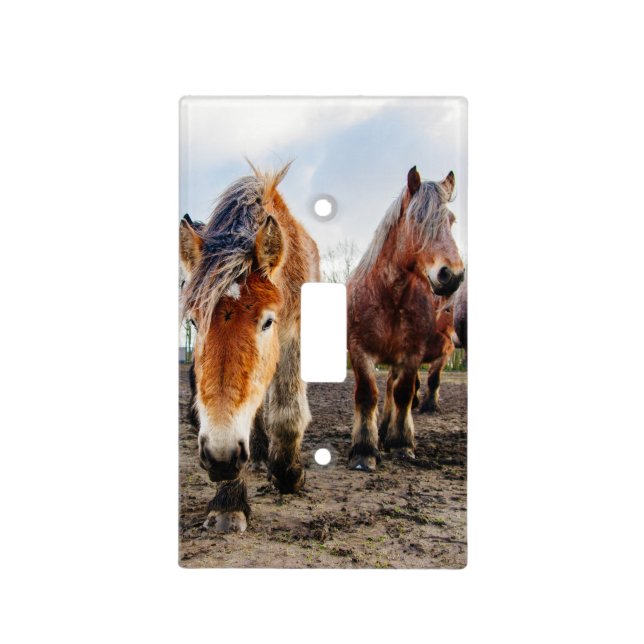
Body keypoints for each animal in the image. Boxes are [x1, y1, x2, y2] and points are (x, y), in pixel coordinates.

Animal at [180, 162, 320, 532]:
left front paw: (288, 475)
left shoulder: (293, 334)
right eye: (195, 323)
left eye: (267, 322)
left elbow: (287, 413)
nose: (221, 458)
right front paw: (229, 502)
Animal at [347, 166, 465, 471]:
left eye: (451, 220)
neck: (391, 296)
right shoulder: (359, 350)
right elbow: (368, 395)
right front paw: (364, 451)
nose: (452, 275)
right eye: (417, 219)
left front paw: (401, 444)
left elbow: (404, 393)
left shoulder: (412, 355)